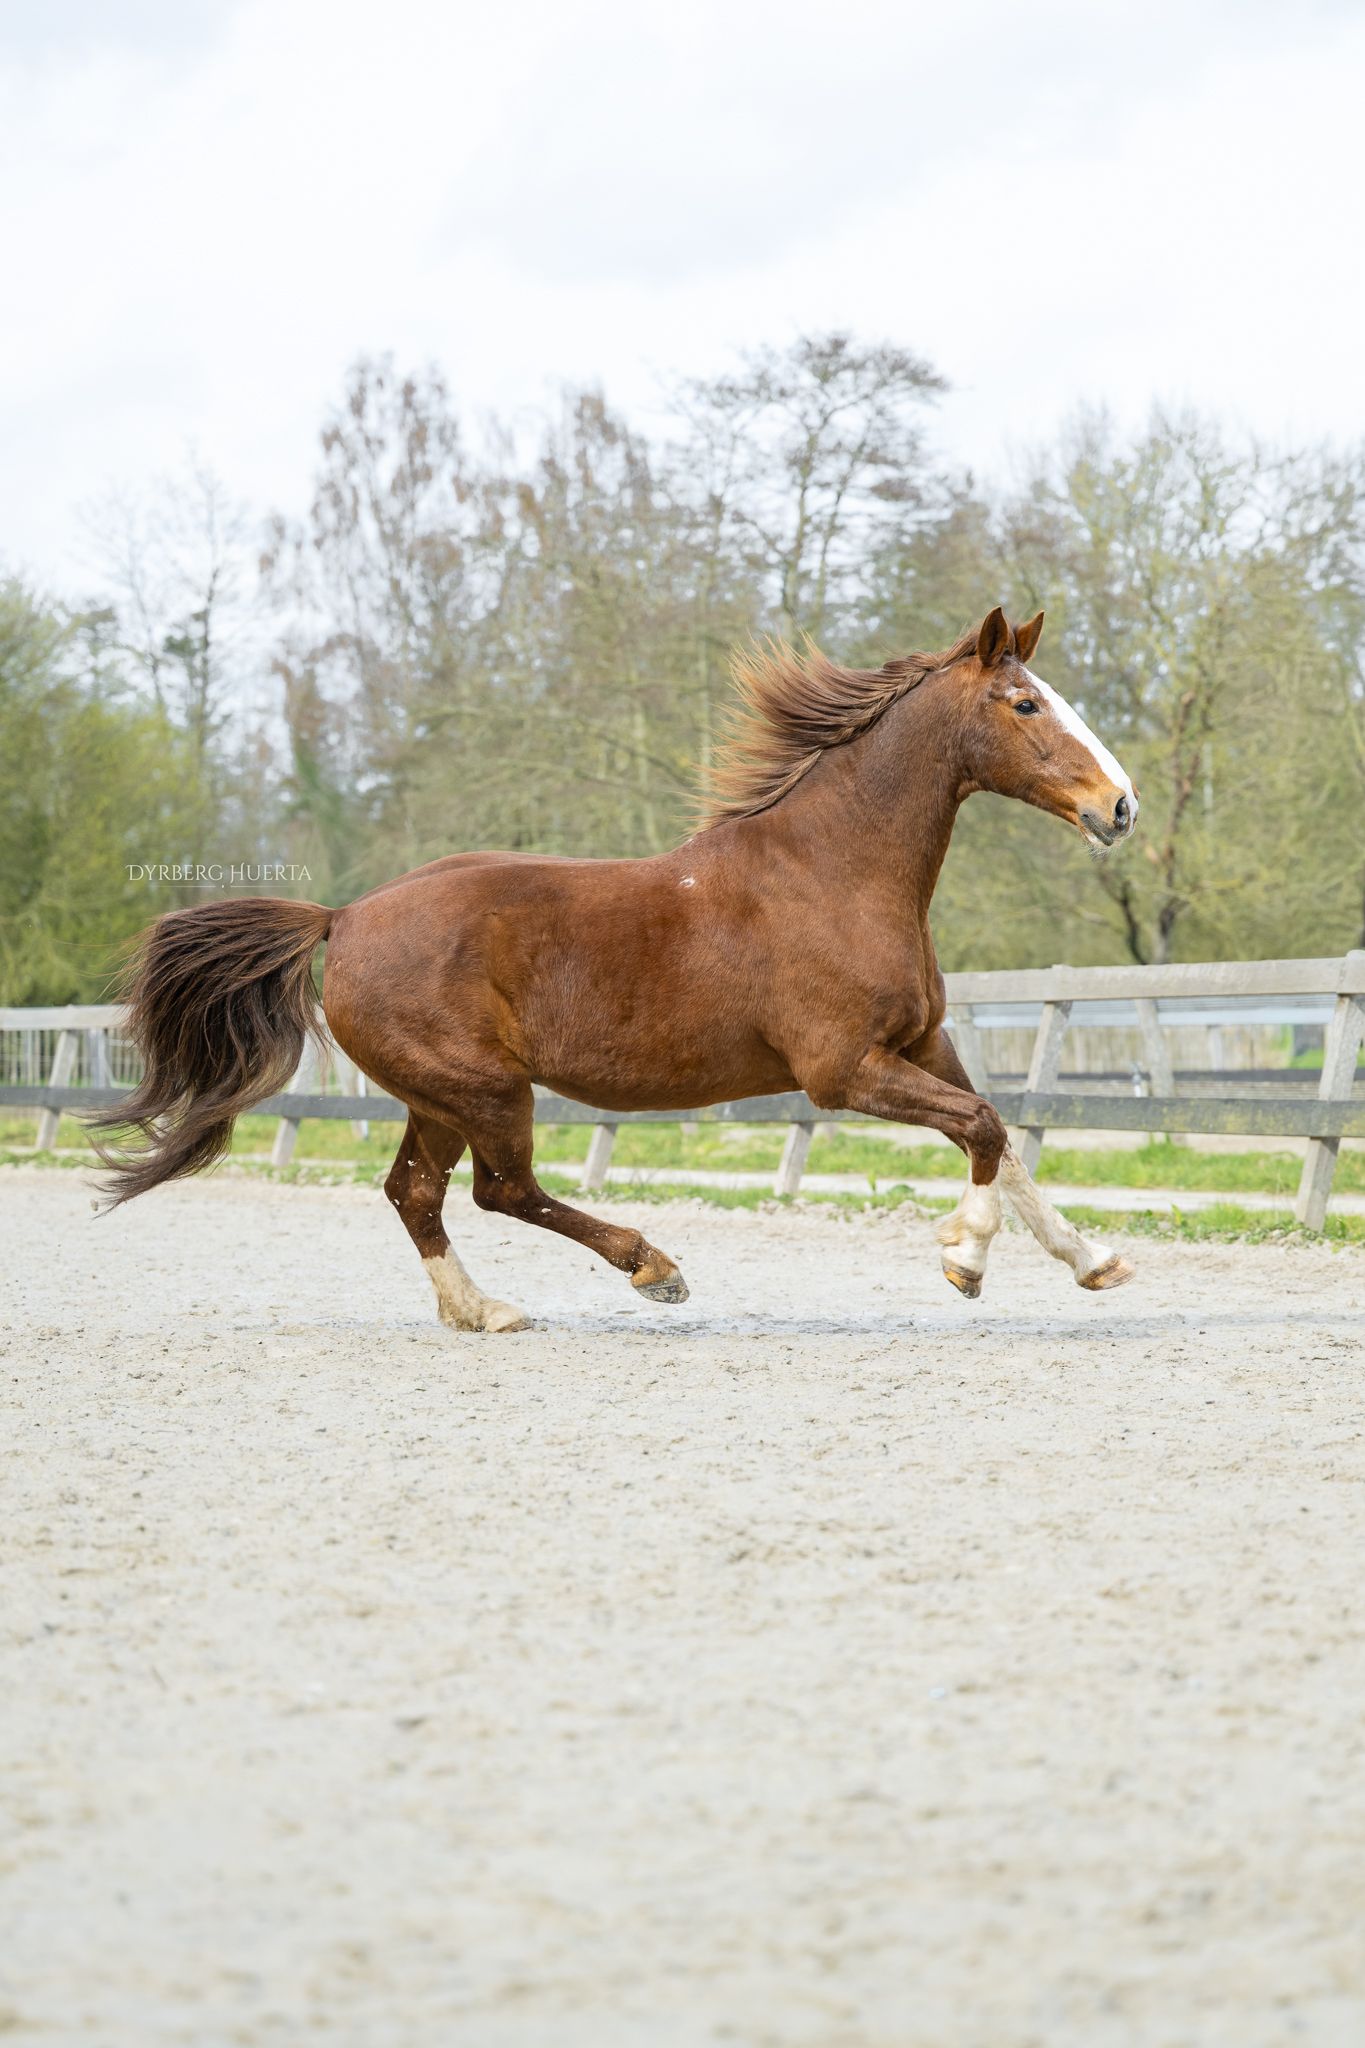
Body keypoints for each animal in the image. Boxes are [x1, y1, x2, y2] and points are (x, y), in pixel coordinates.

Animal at [93, 606, 1139, 1331]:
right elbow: (982, 1128)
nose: (1119, 806)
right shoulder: (841, 1070)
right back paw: (652, 1268)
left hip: (439, 1099)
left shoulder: (921, 1043)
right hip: (483, 1090)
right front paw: (965, 1261)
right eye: (1025, 703)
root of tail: (341, 918)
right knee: (499, 1191)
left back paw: (482, 1311)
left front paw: (1091, 1260)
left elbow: (1000, 1138)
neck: (833, 870)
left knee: (416, 1194)